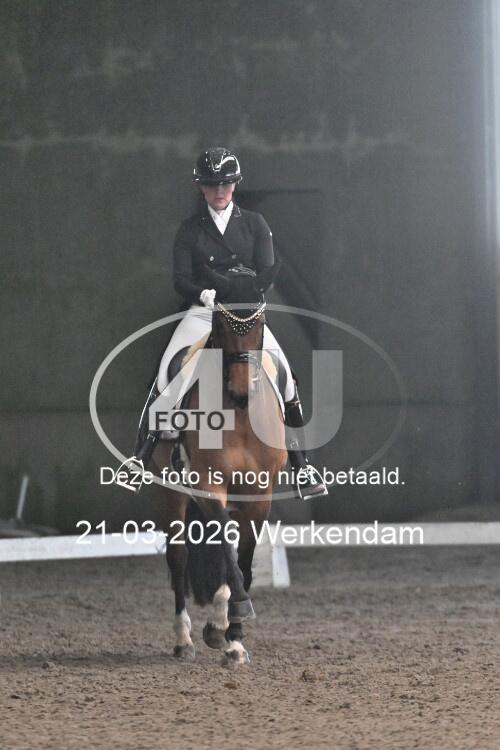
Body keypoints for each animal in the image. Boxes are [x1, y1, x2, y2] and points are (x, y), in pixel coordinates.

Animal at [153, 263, 286, 665]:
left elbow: (242, 558)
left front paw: (233, 636)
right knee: (179, 557)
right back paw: (184, 639)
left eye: (260, 323)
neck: (240, 417)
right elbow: (226, 548)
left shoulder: (259, 496)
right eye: (223, 324)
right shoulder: (210, 486)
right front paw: (229, 618)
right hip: (171, 494)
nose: (243, 393)